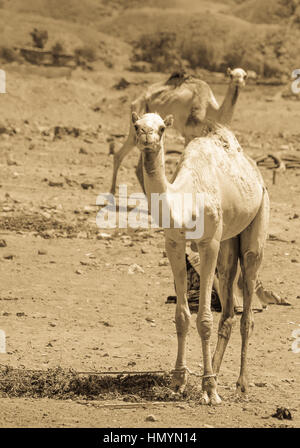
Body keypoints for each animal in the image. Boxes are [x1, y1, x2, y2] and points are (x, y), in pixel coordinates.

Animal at [110, 68, 246, 194]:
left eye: (244, 76)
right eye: (231, 75)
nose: (238, 81)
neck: (211, 112)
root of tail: (138, 98)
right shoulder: (188, 134)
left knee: (138, 167)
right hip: (136, 124)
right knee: (119, 155)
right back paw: (112, 192)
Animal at [132, 111, 268, 402]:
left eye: (162, 128)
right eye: (137, 126)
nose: (147, 137)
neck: (186, 201)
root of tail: (254, 171)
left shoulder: (209, 242)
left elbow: (204, 319)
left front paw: (210, 391)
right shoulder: (173, 242)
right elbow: (182, 317)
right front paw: (179, 382)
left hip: (258, 219)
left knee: (248, 305)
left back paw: (240, 385)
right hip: (228, 240)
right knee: (228, 302)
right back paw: (213, 375)